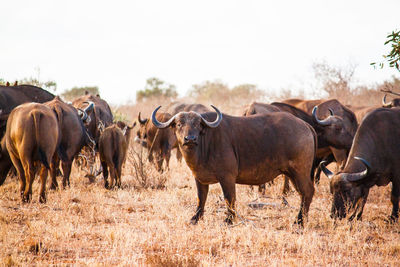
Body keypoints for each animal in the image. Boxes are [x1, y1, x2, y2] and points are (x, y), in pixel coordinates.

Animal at [152, 105, 318, 225]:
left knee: (308, 192)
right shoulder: (199, 178)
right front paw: (195, 218)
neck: (204, 145)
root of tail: (305, 125)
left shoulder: (227, 177)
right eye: (179, 124)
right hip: (292, 173)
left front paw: (229, 220)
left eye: (197, 124)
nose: (190, 139)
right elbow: (201, 198)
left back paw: (300, 221)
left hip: (300, 171)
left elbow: (229, 198)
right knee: (303, 194)